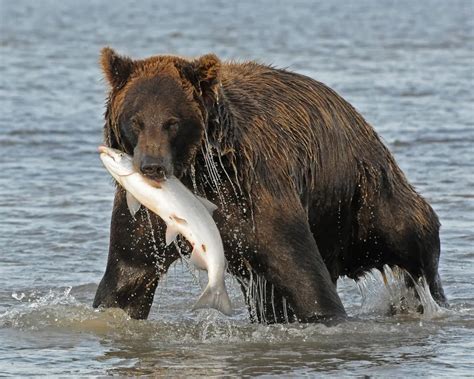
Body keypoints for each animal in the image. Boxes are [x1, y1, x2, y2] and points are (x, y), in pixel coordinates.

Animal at [93, 47, 448, 324]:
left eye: (172, 122)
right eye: (136, 120)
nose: (151, 166)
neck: (198, 176)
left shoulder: (257, 195)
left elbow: (305, 281)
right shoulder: (145, 217)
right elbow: (126, 280)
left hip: (366, 192)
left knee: (411, 234)